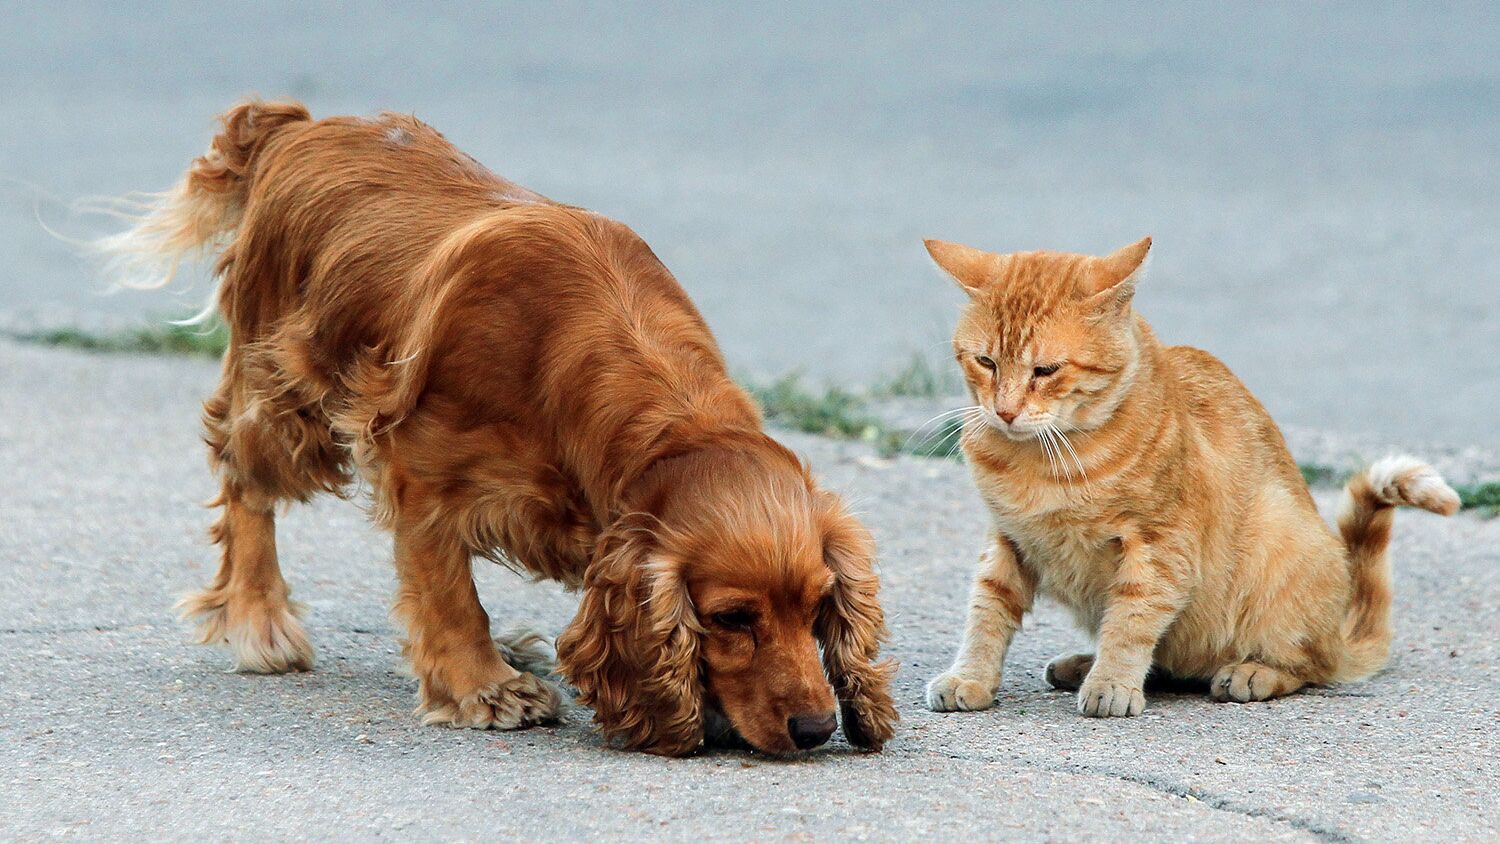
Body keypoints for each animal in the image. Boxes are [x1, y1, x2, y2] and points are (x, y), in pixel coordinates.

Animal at [918, 238, 1458, 719]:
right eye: (986, 362)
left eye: (1045, 370)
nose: (1004, 411)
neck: (1043, 459)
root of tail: (1338, 634)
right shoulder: (1007, 539)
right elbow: (987, 612)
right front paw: (971, 677)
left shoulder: (1160, 548)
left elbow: (1132, 621)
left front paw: (1113, 683)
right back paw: (1084, 664)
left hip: (1282, 541)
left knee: (1308, 666)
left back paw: (1251, 672)